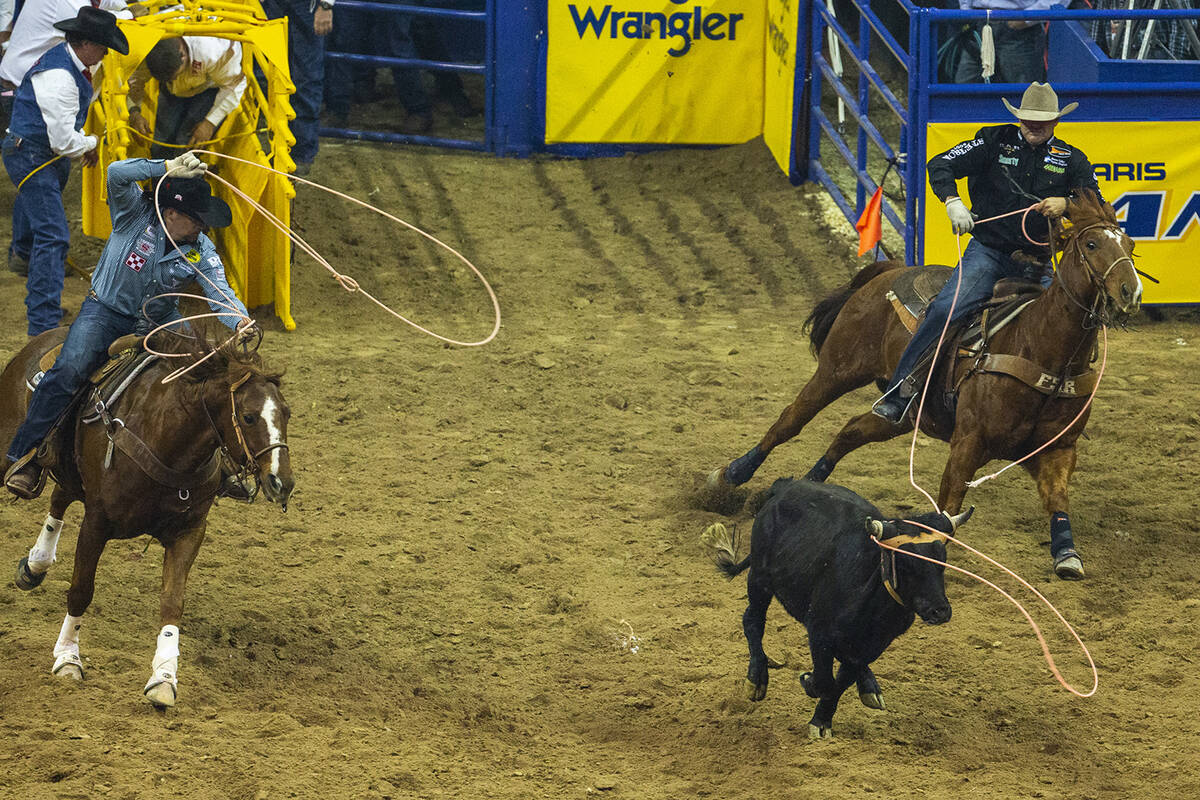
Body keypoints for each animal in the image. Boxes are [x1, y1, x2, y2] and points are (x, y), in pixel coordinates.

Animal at [1, 326, 292, 705]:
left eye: (287, 413)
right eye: (248, 417)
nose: (282, 482)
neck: (166, 439)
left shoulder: (190, 532)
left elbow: (172, 603)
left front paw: (164, 678)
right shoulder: (96, 523)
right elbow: (81, 589)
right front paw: (67, 658)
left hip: (71, 473)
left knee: (59, 497)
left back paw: (36, 563)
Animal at [710, 194, 1142, 582]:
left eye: (1130, 246)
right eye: (1091, 244)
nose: (1130, 293)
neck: (1038, 348)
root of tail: (891, 268)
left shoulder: (1057, 450)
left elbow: (1056, 500)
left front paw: (1067, 555)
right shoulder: (969, 442)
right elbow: (949, 504)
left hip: (904, 414)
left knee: (852, 430)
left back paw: (811, 485)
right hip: (837, 371)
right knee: (791, 420)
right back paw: (730, 475)